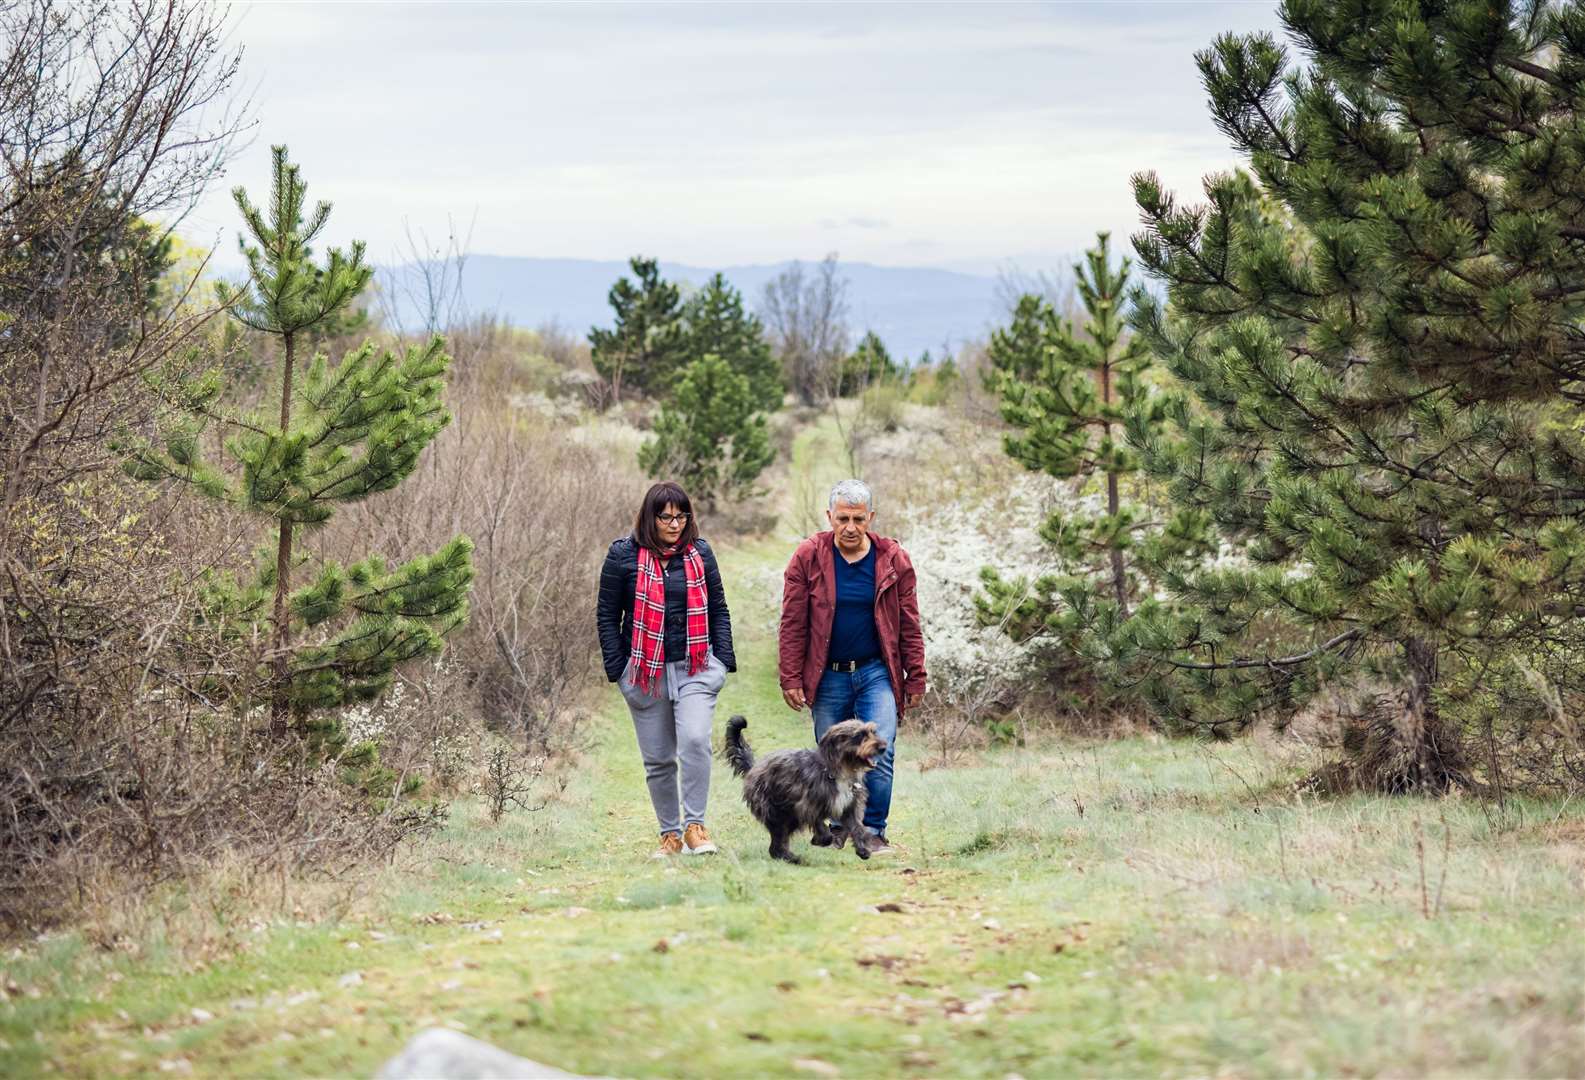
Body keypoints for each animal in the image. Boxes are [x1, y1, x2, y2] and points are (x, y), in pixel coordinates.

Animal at [725, 710, 887, 862]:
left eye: (873, 732)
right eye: (859, 735)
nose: (883, 747)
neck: (838, 770)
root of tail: (754, 767)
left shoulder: (849, 806)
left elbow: (857, 827)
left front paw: (863, 849)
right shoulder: (806, 805)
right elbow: (820, 825)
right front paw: (820, 840)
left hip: (789, 817)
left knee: (777, 845)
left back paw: (789, 857)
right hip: (777, 814)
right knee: (777, 841)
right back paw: (792, 858)